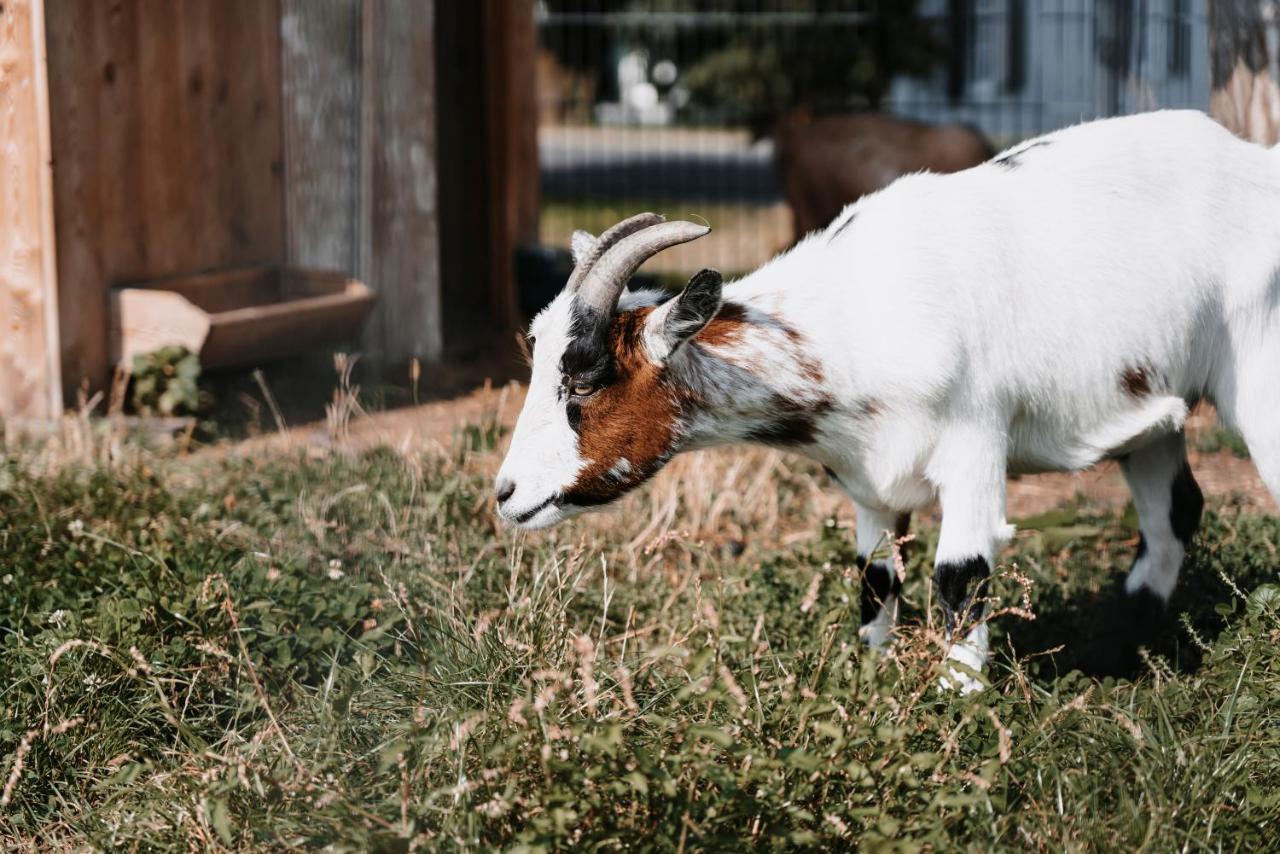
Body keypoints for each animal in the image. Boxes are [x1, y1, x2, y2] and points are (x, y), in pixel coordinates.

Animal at [494, 110, 1280, 691]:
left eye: (585, 378)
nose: (506, 494)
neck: (855, 314)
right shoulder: (869, 476)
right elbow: (876, 578)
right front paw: (869, 684)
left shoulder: (973, 445)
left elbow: (961, 575)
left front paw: (958, 710)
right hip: (1152, 416)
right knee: (1173, 514)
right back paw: (1117, 659)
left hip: (1258, 367)